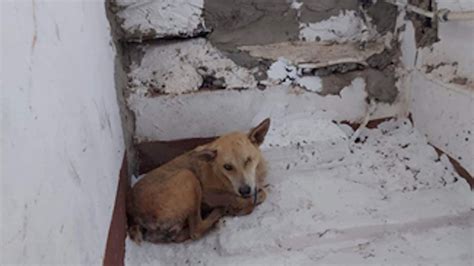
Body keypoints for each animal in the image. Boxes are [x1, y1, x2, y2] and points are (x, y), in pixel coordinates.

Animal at [127, 118, 270, 243]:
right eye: (227, 167)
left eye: (248, 160)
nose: (245, 190)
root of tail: (133, 213)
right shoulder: (209, 194)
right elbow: (252, 196)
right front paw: (240, 205)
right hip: (188, 176)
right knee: (196, 230)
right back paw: (218, 213)